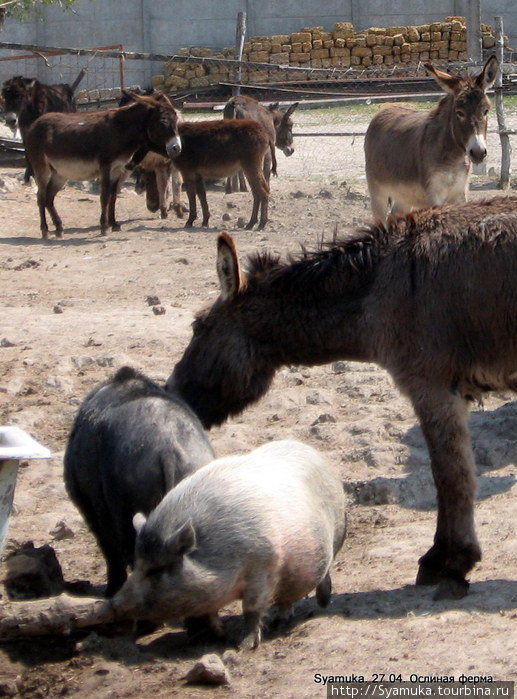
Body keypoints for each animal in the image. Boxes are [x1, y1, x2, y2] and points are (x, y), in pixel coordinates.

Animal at [113, 440, 346, 648]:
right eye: (138, 564)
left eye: (157, 569)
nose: (114, 603)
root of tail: (312, 451)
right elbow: (209, 611)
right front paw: (219, 637)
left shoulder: (264, 565)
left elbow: (251, 609)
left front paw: (244, 646)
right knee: (286, 598)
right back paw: (281, 622)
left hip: (335, 534)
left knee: (324, 571)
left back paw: (322, 604)